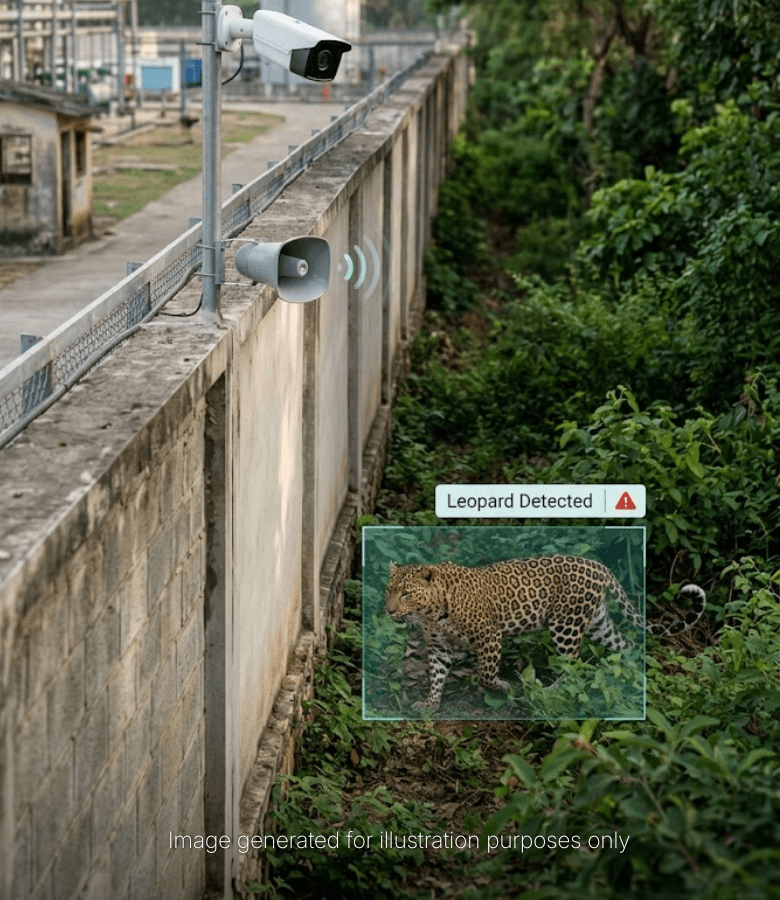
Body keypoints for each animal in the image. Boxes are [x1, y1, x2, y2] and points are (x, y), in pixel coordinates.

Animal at [384, 555, 706, 711]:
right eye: (389, 590)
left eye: (407, 593)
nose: (388, 610)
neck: (430, 613)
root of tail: (599, 566)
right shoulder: (438, 647)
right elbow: (436, 676)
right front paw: (430, 704)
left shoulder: (489, 635)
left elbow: (485, 673)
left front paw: (503, 687)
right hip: (597, 624)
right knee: (624, 645)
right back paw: (631, 674)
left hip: (566, 626)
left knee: (574, 664)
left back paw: (549, 691)